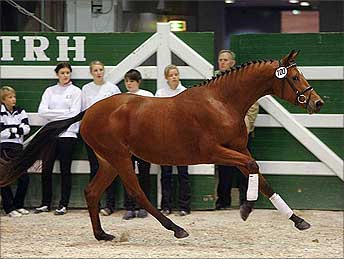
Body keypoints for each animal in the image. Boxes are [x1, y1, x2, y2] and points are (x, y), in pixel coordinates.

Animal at [0, 50, 324, 242]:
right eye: (295, 77)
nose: (318, 102)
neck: (221, 102)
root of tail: (89, 111)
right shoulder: (215, 152)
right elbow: (254, 167)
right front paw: (245, 208)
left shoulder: (239, 150)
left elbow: (264, 180)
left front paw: (299, 221)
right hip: (120, 158)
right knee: (137, 192)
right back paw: (176, 228)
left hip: (108, 161)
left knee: (91, 192)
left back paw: (103, 235)